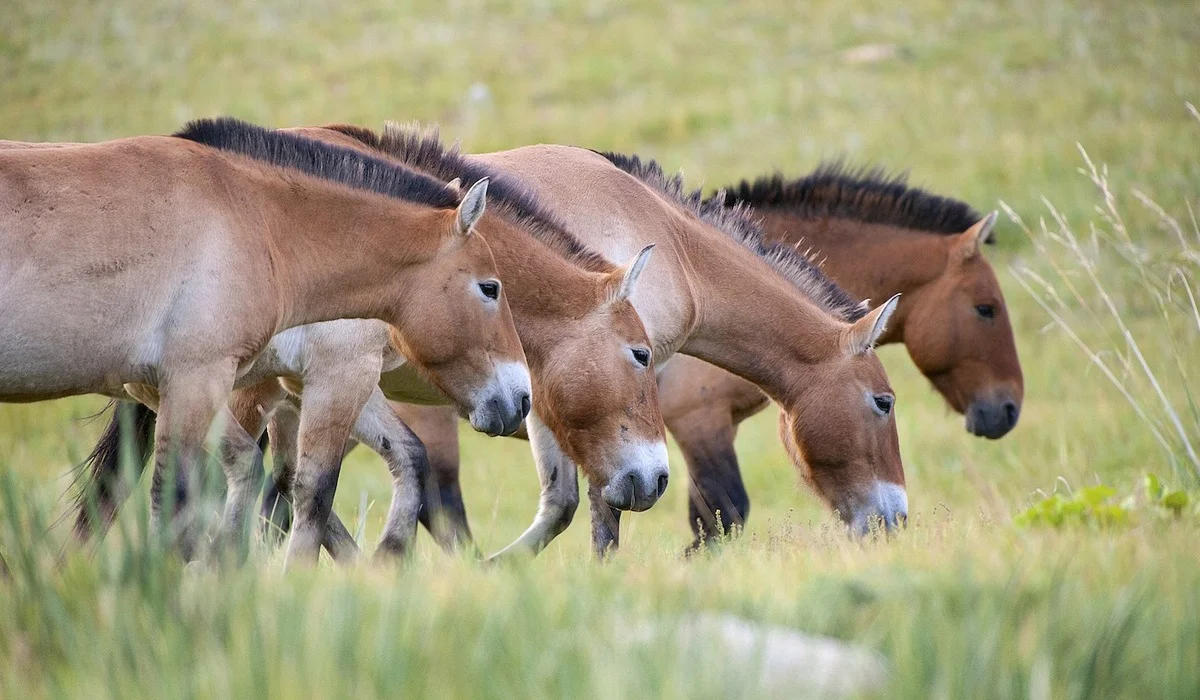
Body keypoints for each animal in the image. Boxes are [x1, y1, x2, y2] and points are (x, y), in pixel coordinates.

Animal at [0, 118, 525, 559]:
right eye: (490, 287)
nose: (521, 397)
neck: (252, 219)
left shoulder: (182, 386)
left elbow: (255, 474)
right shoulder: (204, 379)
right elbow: (204, 499)